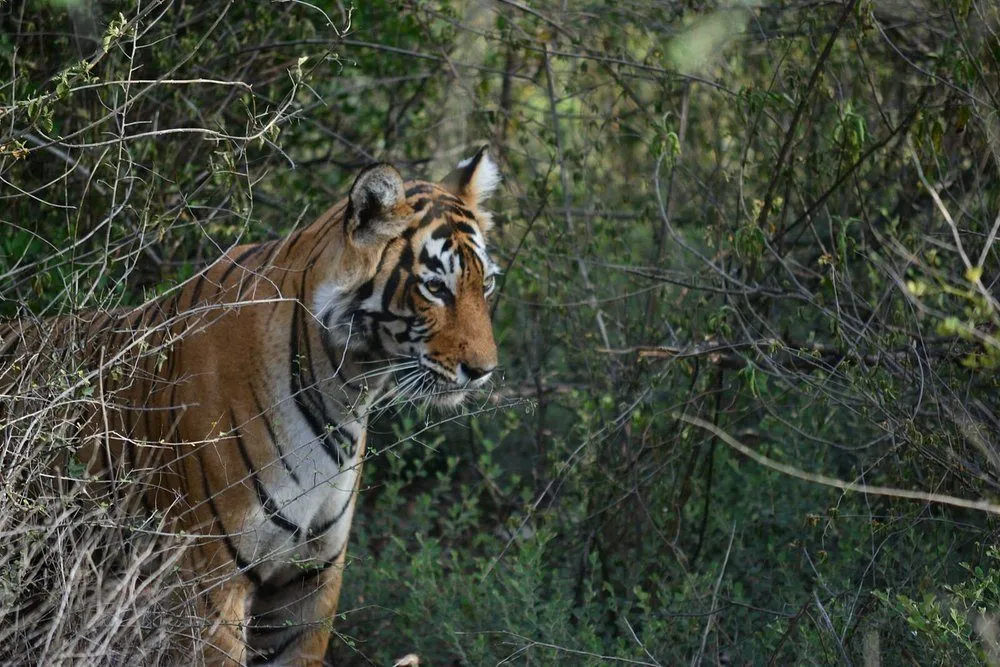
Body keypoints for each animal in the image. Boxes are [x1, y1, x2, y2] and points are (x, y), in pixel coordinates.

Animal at [0, 147, 501, 666]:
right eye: (435, 288)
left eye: (486, 285)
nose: (484, 370)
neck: (345, 393)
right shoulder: (209, 576)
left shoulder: (311, 580)